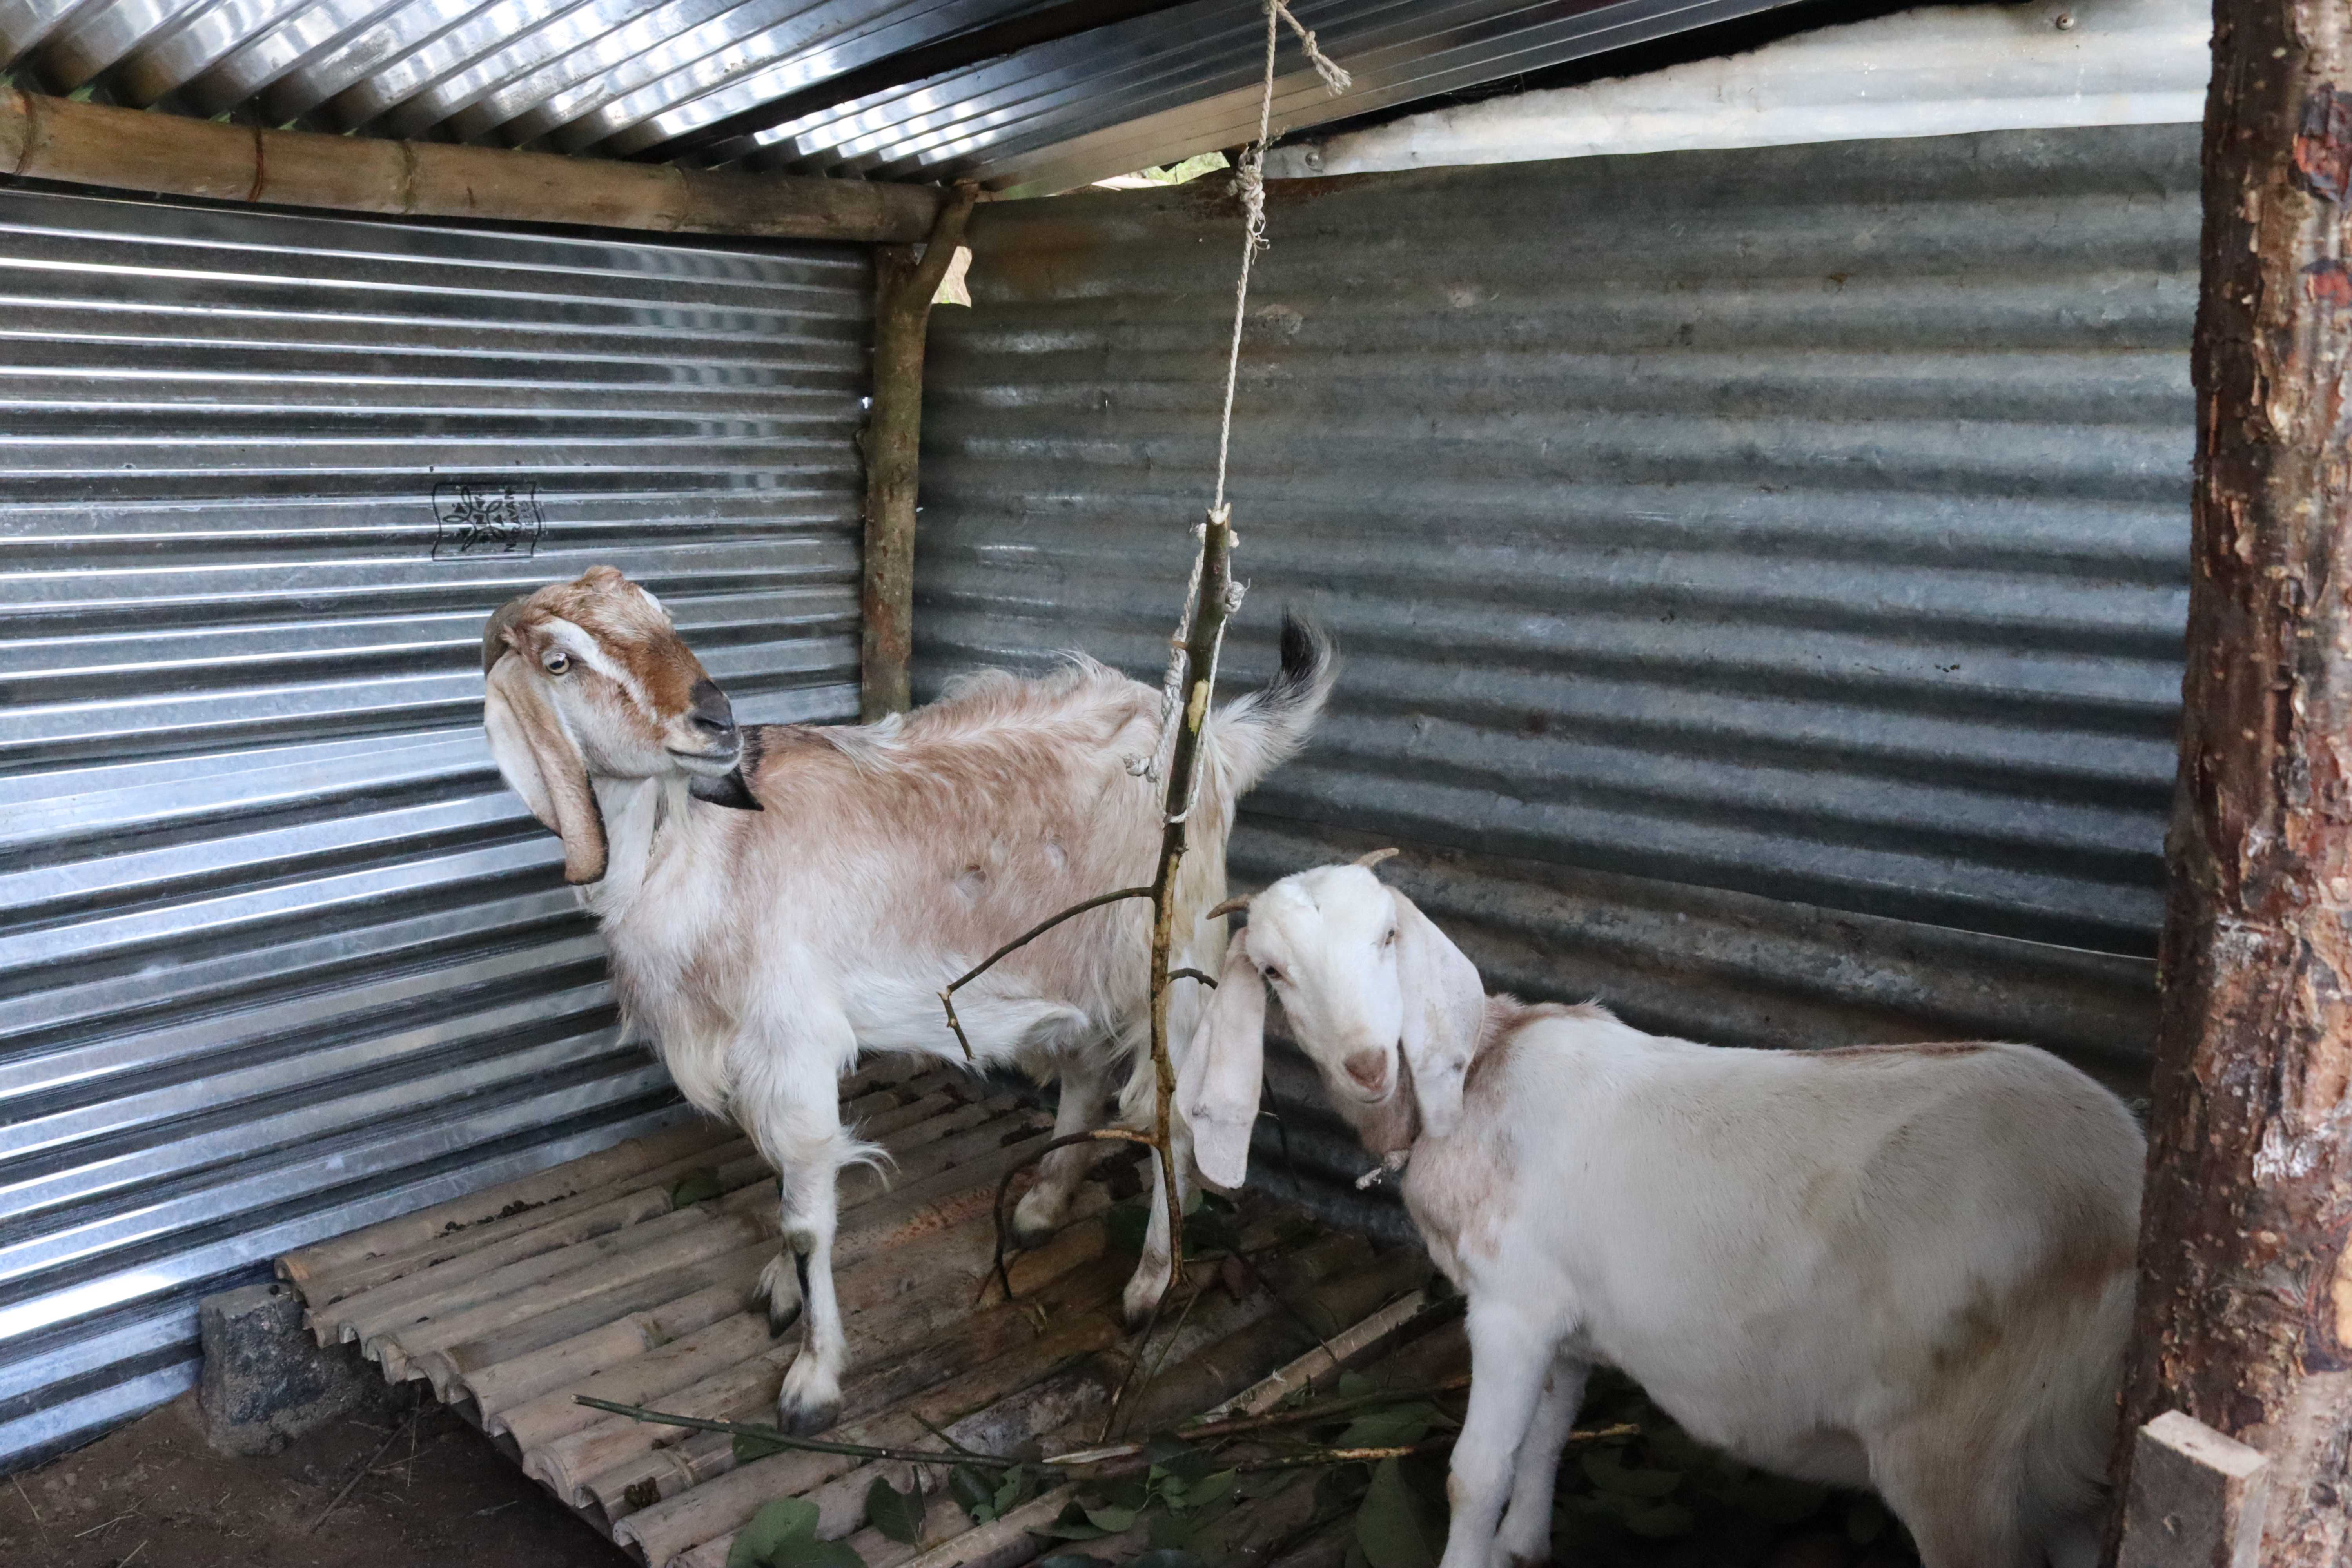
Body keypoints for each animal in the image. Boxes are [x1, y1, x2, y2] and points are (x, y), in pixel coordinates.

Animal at [480, 566, 1334, 1431]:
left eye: (666, 620)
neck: (699, 851)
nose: (716, 721)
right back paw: (1040, 1206)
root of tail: (1215, 737)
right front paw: (783, 1292)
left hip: (1174, 950)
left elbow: (805, 1218)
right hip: (1066, 956)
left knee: (1174, 1109)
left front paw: (813, 1380)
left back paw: (1150, 1283)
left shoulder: (794, 1041)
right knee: (1086, 1070)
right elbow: (784, 1180)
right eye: (559, 661)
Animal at [1183, 856, 2143, 1568]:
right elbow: (1548, 1435)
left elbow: (1476, 1473)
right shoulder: (1566, 1323)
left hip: (1961, 1450)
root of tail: (2127, 1186)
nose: (1367, 1064)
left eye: (1387, 935)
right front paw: (1525, 1545)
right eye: (1272, 970)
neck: (1474, 1083)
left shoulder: (1510, 1307)